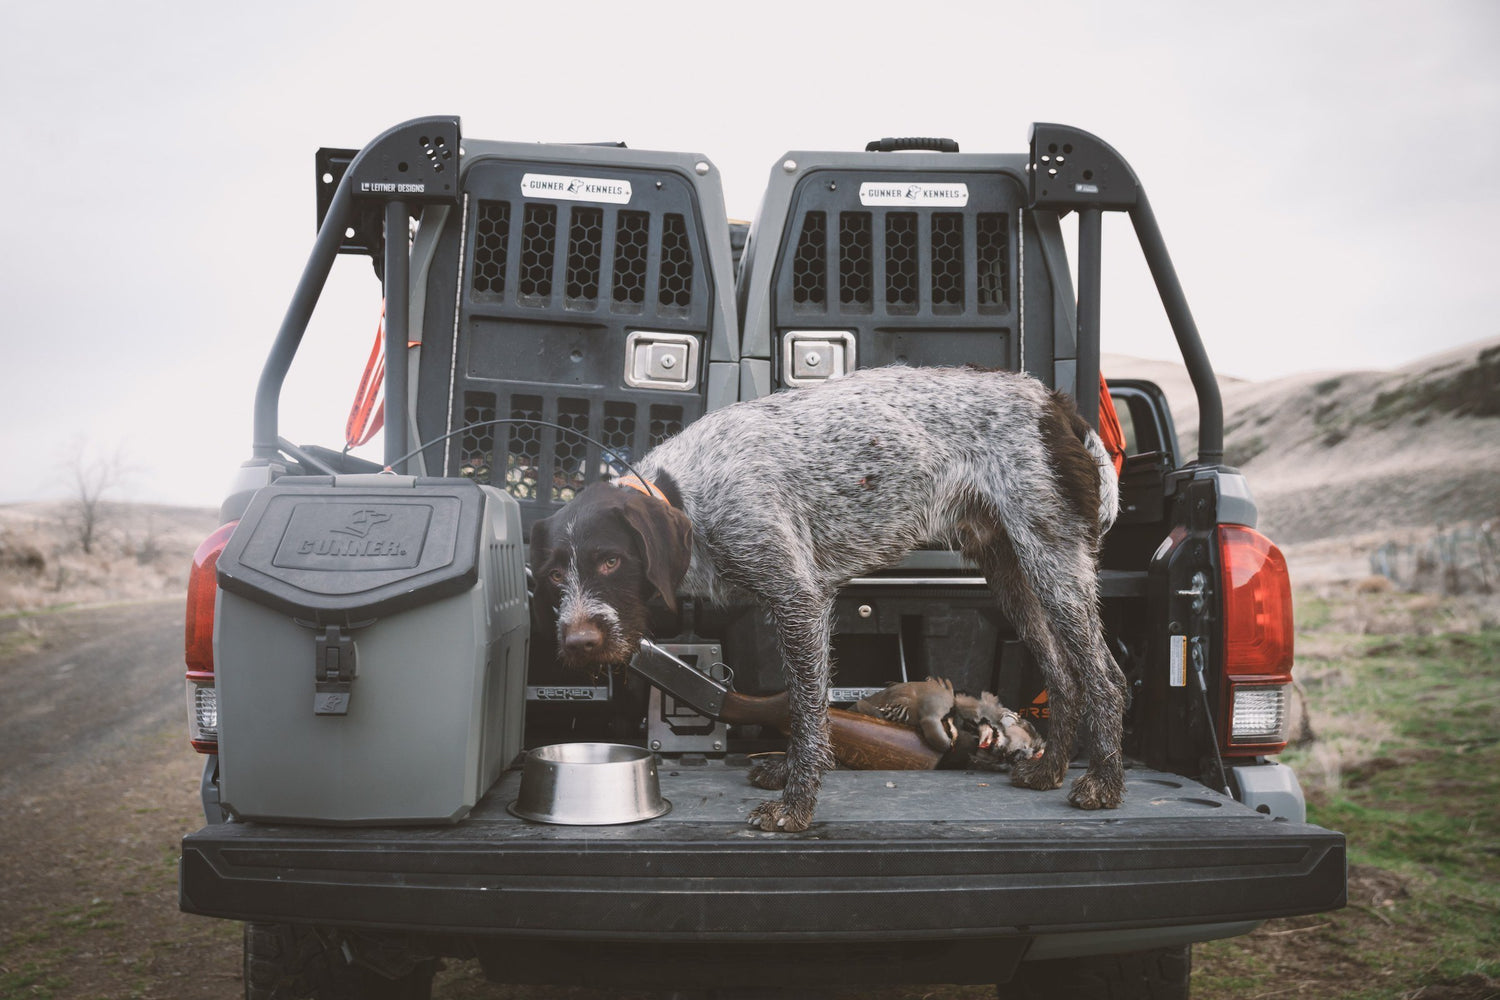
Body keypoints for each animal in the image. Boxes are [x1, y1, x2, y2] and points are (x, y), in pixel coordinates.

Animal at [531, 364, 1128, 833]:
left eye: (612, 561)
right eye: (556, 576)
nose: (579, 643)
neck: (688, 497)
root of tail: (1055, 404)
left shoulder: (797, 597)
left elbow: (806, 707)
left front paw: (796, 804)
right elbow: (804, 707)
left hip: (1052, 561)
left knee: (1105, 678)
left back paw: (1103, 783)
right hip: (1011, 573)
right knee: (1064, 676)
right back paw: (1050, 770)